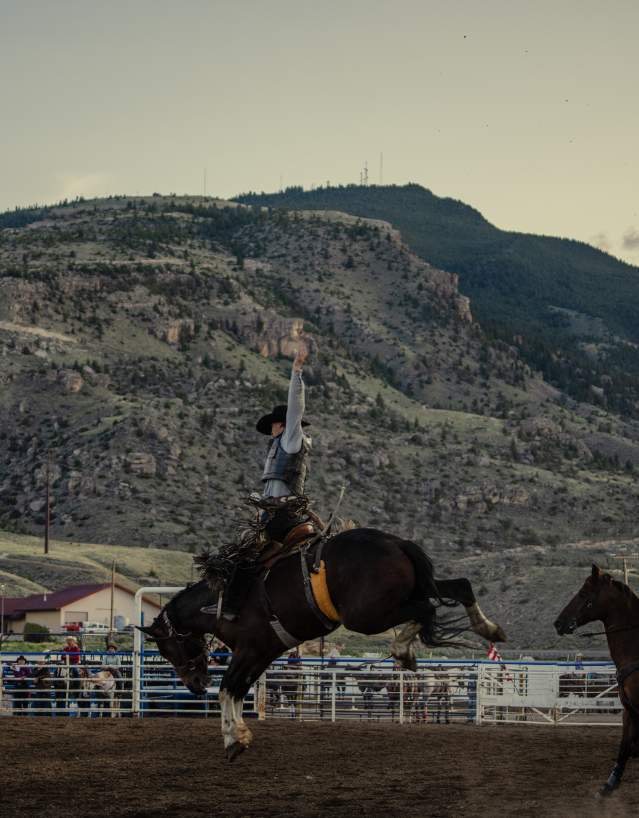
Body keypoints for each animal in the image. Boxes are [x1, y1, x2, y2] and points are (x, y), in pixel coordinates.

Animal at [138, 527, 505, 760]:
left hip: (367, 614)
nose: (196, 684)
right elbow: (240, 690)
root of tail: (397, 543)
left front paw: (232, 739)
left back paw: (404, 650)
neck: (222, 600)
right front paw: (240, 734)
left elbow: (229, 689)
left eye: (167, 649)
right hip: (413, 590)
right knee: (459, 586)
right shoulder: (264, 652)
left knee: (426, 608)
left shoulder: (250, 649)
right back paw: (489, 628)